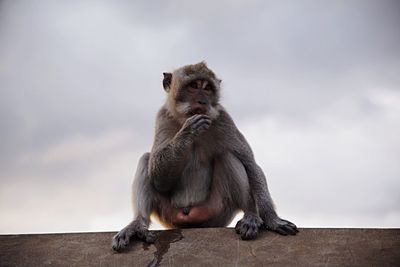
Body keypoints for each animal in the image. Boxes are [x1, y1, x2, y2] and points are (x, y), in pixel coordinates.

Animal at [111, 61, 296, 252]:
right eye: (193, 86)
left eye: (207, 88)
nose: (202, 101)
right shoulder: (162, 117)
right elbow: (158, 178)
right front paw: (187, 131)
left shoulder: (224, 120)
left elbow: (251, 165)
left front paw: (272, 219)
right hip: (169, 214)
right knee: (145, 159)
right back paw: (137, 224)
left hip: (216, 212)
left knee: (227, 157)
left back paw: (250, 215)